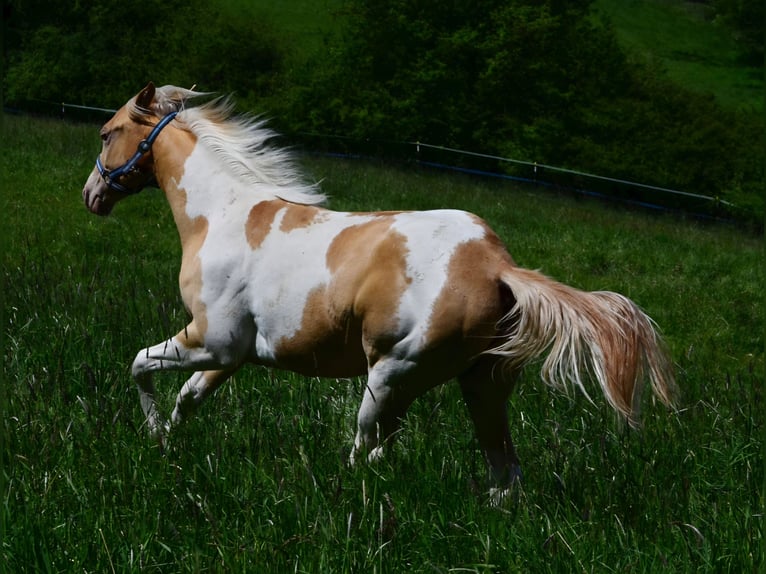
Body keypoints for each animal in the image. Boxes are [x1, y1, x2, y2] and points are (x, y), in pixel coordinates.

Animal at [82, 82, 676, 488]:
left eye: (108, 134)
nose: (91, 194)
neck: (222, 215)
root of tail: (496, 266)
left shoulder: (213, 339)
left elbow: (140, 364)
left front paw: (151, 435)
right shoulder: (233, 354)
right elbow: (188, 398)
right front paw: (168, 444)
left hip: (389, 377)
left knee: (367, 453)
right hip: (481, 386)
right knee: (503, 471)